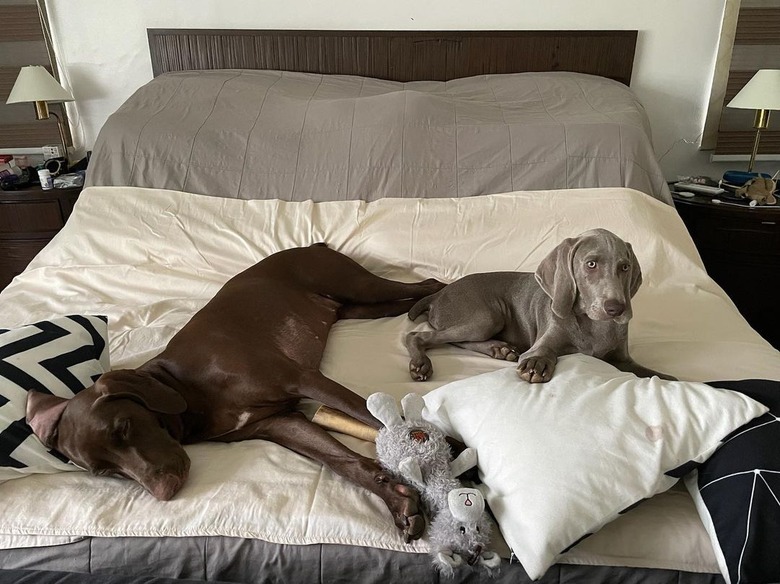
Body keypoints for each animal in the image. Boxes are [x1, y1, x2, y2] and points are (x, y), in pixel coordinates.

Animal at [24, 243, 442, 544]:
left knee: (430, 284)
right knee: (406, 303)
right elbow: (347, 463)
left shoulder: (304, 379)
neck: (188, 389)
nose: (164, 492)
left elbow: (379, 420)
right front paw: (399, 503)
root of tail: (312, 244)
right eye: (104, 472)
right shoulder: (280, 424)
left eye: (123, 427)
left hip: (357, 285)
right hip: (356, 309)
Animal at [406, 228, 672, 384]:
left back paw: (500, 349)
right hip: (486, 316)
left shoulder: (624, 359)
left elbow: (655, 374)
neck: (594, 325)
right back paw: (420, 364)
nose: (616, 308)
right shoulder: (544, 341)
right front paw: (536, 365)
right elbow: (543, 353)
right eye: (591, 264)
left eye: (625, 267)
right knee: (418, 336)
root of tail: (439, 293)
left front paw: (672, 380)